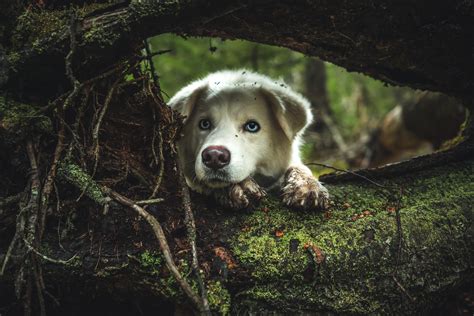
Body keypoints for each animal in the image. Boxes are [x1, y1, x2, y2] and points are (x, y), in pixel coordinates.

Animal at [168, 70, 328, 211]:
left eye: (252, 126)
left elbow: (300, 167)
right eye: (204, 124)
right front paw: (240, 186)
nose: (214, 157)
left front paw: (307, 186)